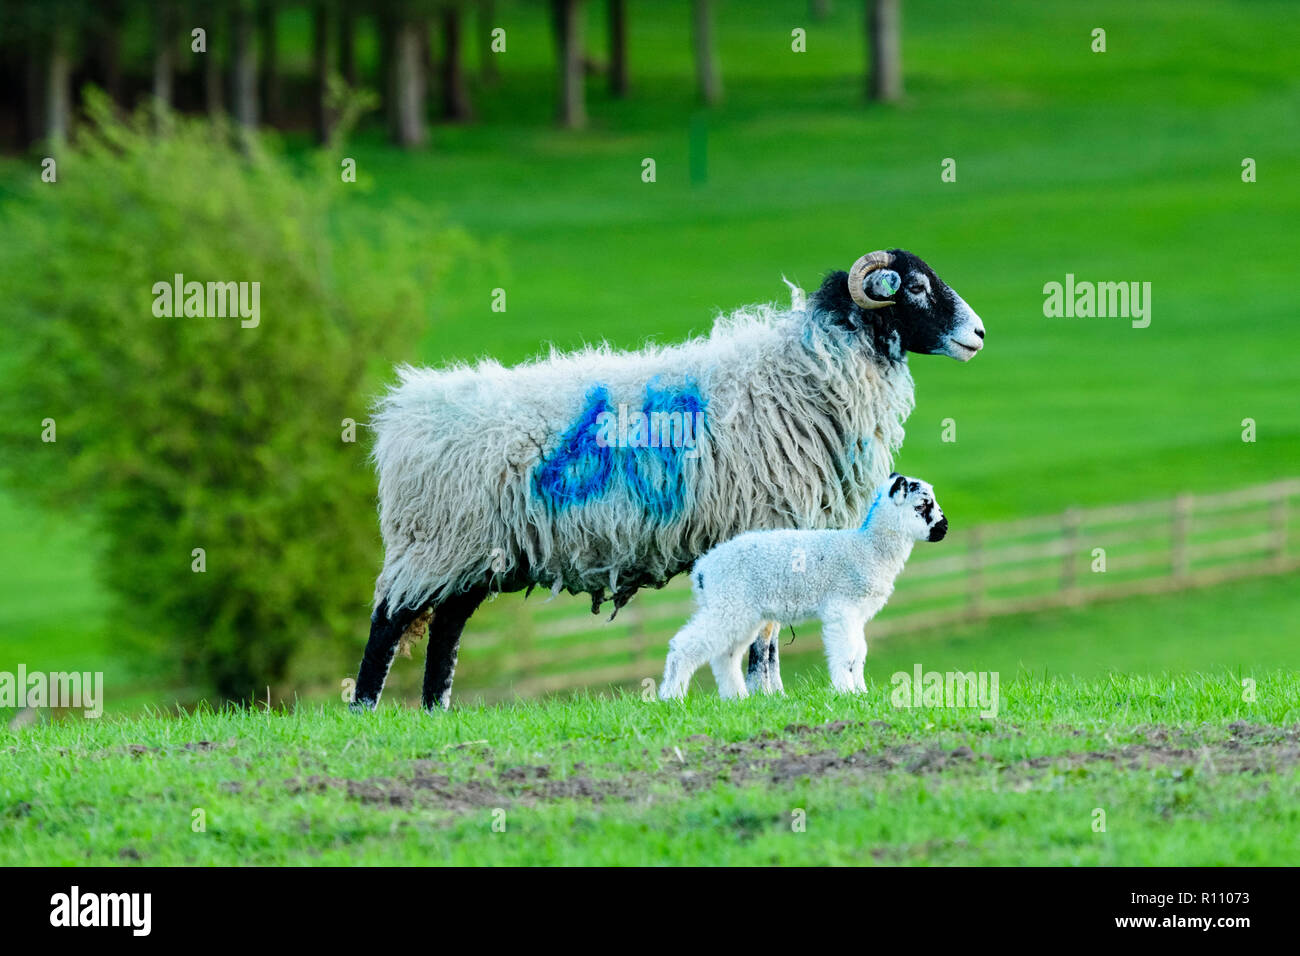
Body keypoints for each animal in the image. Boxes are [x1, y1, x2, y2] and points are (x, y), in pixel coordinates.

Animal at [660, 476, 946, 697]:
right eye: (922, 504)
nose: (944, 528)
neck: (868, 548)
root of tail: (703, 570)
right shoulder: (842, 608)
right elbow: (846, 652)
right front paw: (846, 692)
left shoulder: (857, 613)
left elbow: (859, 651)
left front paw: (861, 691)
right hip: (729, 604)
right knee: (684, 646)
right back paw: (671, 697)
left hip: (741, 612)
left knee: (726, 655)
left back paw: (736, 697)